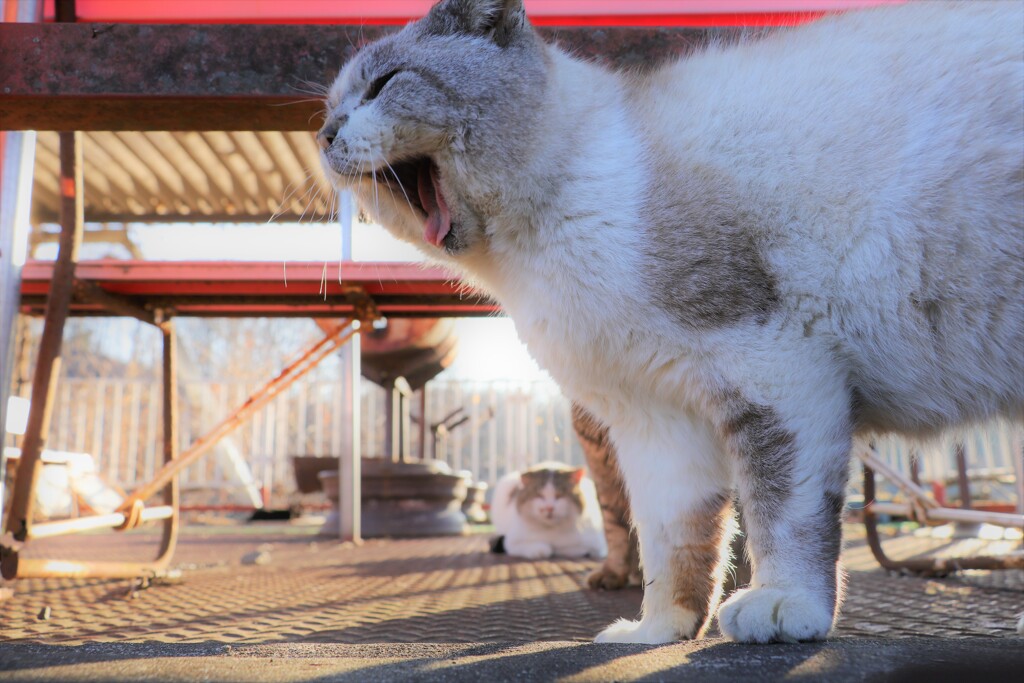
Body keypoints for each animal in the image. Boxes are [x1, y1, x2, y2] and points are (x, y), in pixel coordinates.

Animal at [315, 0, 1019, 643]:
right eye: (332, 107)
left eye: (384, 84)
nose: (323, 136)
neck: (530, 252)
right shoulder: (656, 422)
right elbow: (671, 542)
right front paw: (660, 631)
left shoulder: (774, 368)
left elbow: (780, 511)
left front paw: (784, 608)